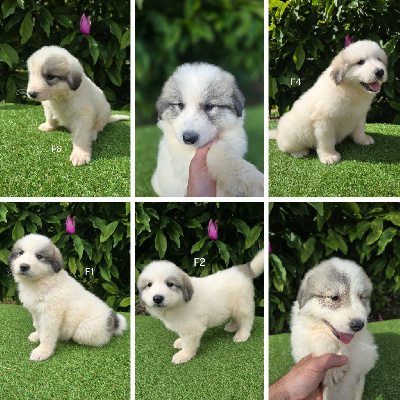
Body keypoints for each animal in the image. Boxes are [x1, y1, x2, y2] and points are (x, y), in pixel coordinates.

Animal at [8, 234, 126, 362]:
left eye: (39, 256)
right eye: (21, 253)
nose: (24, 266)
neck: (40, 281)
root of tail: (112, 320)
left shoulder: (51, 314)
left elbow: (47, 333)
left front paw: (43, 351)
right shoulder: (36, 312)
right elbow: (38, 326)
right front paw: (37, 336)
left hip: (85, 329)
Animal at [138, 248, 266, 364]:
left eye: (169, 284)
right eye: (149, 284)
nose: (157, 298)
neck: (178, 305)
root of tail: (240, 270)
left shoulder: (192, 328)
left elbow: (189, 343)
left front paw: (184, 355)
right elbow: (183, 337)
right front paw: (180, 342)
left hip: (242, 305)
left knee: (246, 321)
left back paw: (242, 335)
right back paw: (232, 326)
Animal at [290, 258, 378, 398]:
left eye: (361, 297)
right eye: (335, 297)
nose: (358, 325)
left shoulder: (367, 350)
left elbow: (351, 356)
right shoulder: (300, 342)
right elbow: (319, 339)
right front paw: (331, 368)